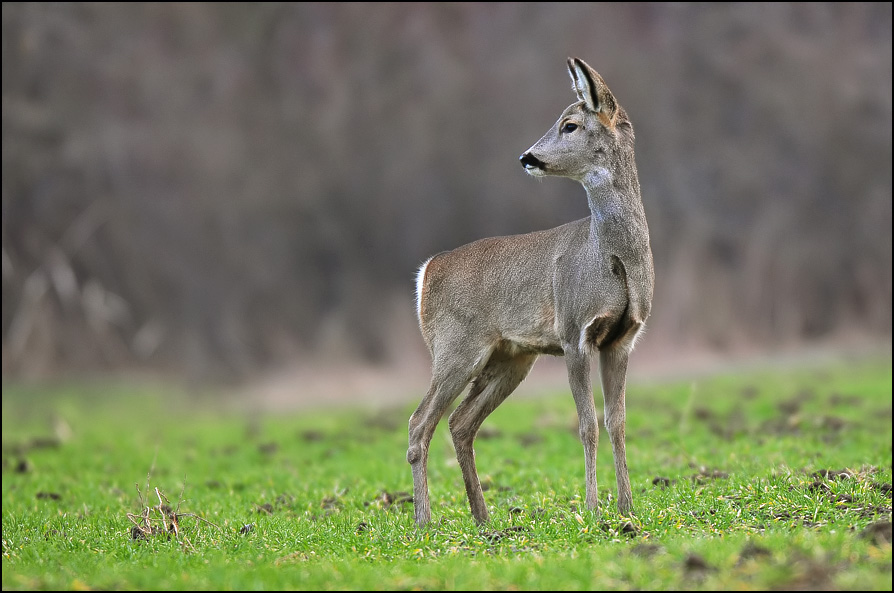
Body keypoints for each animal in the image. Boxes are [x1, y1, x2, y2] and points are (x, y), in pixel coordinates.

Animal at [410, 57, 656, 524]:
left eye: (570, 125)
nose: (527, 157)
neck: (611, 259)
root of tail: (426, 272)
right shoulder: (575, 331)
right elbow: (587, 425)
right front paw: (593, 509)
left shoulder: (624, 337)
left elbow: (617, 422)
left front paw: (627, 507)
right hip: (455, 347)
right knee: (419, 422)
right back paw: (424, 521)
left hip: (510, 358)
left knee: (460, 423)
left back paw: (482, 517)